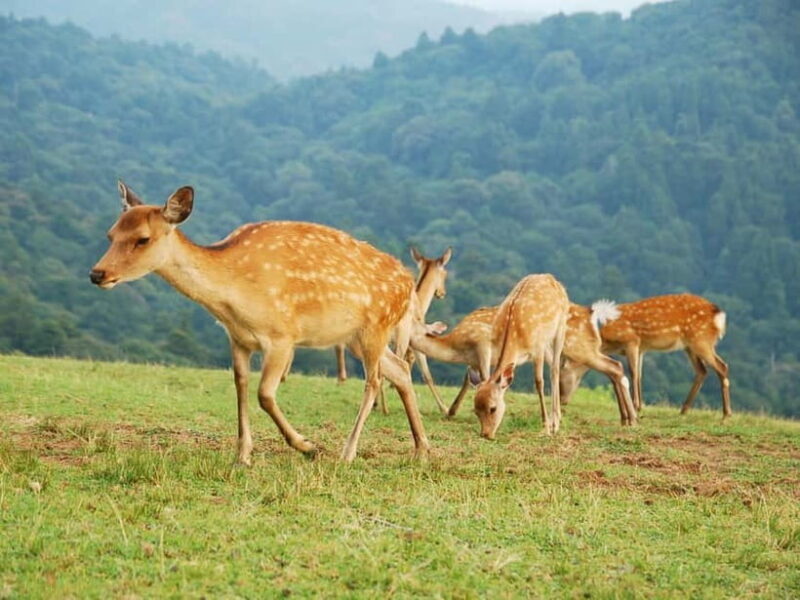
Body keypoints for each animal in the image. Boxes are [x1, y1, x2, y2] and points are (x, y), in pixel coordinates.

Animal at [90, 181, 430, 464]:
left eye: (143, 239)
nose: (97, 273)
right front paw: (242, 456)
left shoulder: (282, 336)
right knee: (400, 368)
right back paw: (422, 448)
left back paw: (347, 453)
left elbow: (264, 395)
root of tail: (408, 284)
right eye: (110, 234)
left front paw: (306, 446)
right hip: (354, 338)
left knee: (374, 381)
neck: (233, 299)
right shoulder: (238, 338)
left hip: (377, 326)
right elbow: (240, 386)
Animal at [412, 303, 637, 426]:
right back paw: (626, 419)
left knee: (614, 367)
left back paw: (632, 418)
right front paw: (451, 411)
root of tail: (591, 314)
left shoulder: (482, 345)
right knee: (613, 369)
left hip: (578, 346)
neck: (457, 347)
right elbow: (470, 380)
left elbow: (483, 378)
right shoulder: (475, 360)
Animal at [470, 274, 569, 439]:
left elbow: (539, 382)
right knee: (554, 365)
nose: (486, 434)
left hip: (560, 327)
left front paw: (546, 427)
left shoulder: (538, 347)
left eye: (493, 408)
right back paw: (558, 418)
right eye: (476, 411)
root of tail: (550, 277)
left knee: (555, 369)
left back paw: (555, 423)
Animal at [564, 294, 731, 417]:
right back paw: (684, 410)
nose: (563, 401)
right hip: (690, 346)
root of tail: (719, 315)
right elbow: (639, 374)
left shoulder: (632, 341)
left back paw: (726, 414)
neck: (608, 342)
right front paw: (640, 406)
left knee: (722, 366)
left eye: (562, 379)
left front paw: (636, 406)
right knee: (702, 370)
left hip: (701, 340)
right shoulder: (642, 349)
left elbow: (633, 373)